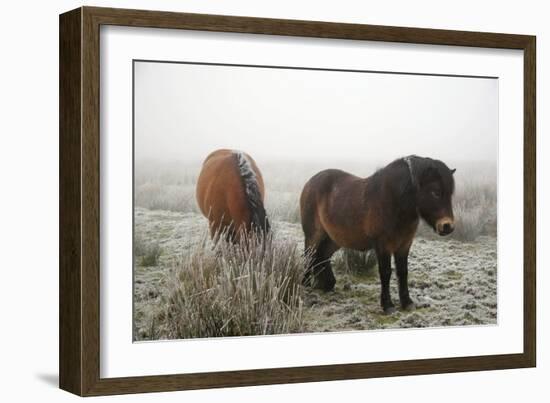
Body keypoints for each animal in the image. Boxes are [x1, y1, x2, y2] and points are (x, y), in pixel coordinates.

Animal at [302, 156, 458, 314]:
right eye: (435, 192)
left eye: (450, 193)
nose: (447, 226)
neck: (393, 201)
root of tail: (310, 182)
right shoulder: (383, 245)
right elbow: (385, 272)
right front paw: (388, 305)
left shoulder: (404, 245)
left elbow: (403, 271)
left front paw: (407, 302)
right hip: (313, 235)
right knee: (309, 256)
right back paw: (306, 284)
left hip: (334, 239)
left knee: (322, 256)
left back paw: (327, 284)